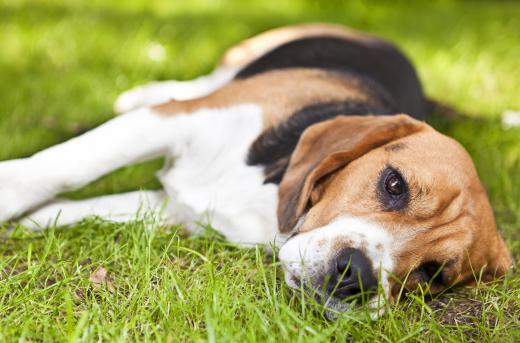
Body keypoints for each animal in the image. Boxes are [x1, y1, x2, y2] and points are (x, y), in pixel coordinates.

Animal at [0, 22, 512, 316]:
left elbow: (89, 205)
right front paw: (10, 196)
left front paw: (31, 221)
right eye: (394, 184)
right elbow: (63, 167)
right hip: (238, 62)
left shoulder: (178, 210)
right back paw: (145, 90)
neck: (270, 194)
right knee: (194, 84)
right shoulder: (172, 121)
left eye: (432, 275)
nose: (356, 277)